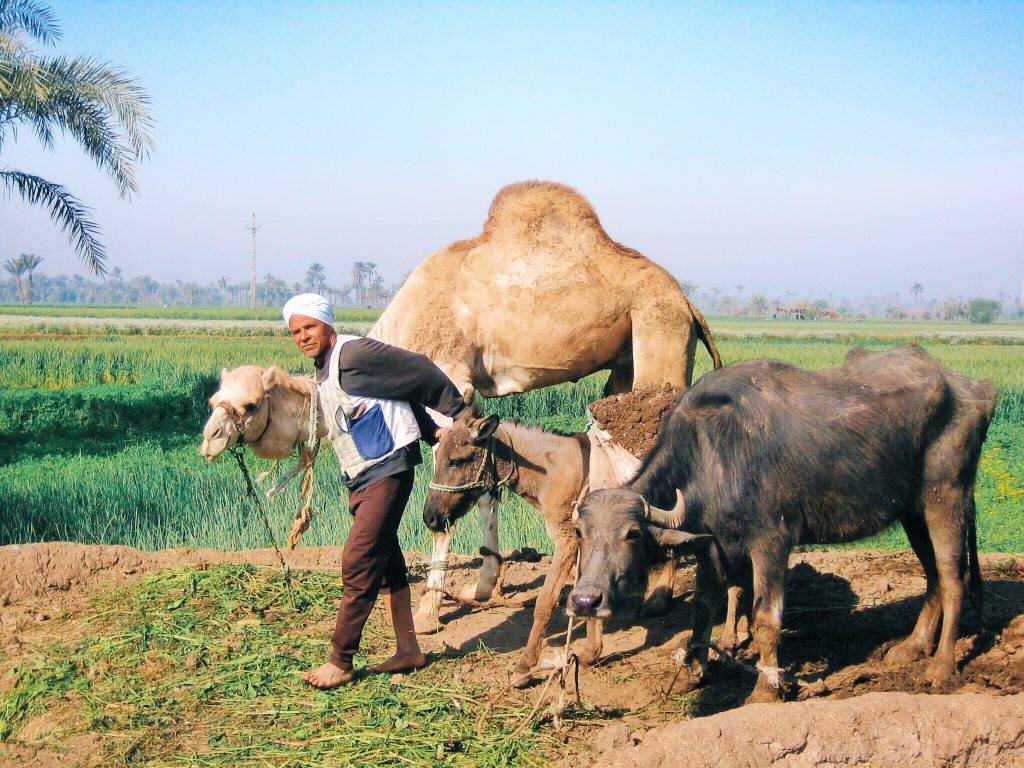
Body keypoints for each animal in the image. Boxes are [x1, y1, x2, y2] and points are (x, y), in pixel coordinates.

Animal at [569, 352, 991, 708]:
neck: (716, 454)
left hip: (946, 496)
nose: (586, 601)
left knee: (953, 578)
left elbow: (765, 619)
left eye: (632, 534)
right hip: (912, 511)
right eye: (581, 534)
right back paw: (911, 647)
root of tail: (974, 390)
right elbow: (703, 610)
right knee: (933, 576)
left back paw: (940, 667)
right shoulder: (714, 546)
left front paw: (765, 690)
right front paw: (694, 672)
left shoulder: (771, 543)